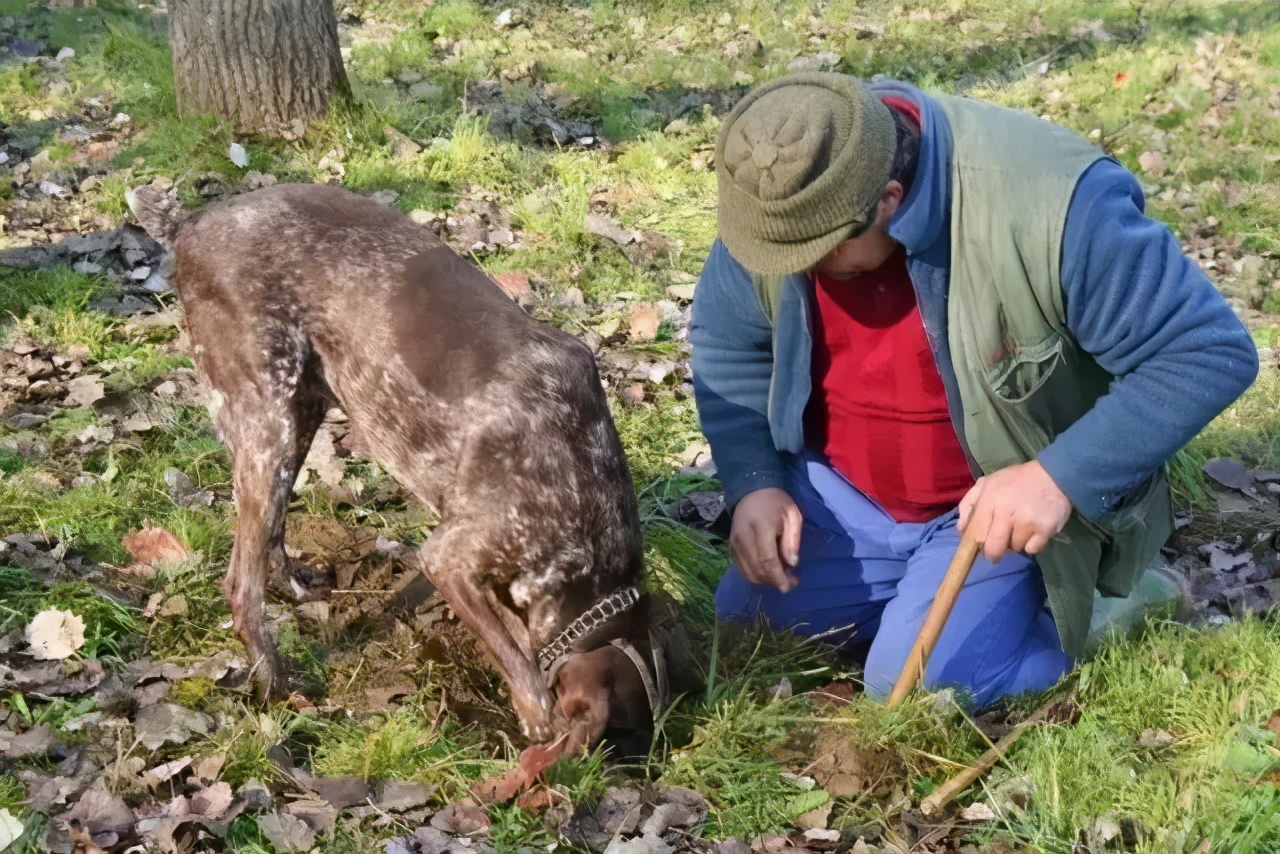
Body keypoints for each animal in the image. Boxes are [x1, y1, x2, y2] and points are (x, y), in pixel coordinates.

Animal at [127, 184, 670, 752]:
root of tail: (189, 223)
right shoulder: (450, 560)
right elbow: (518, 662)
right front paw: (540, 724)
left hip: (300, 412)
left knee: (270, 535)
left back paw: (294, 585)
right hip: (268, 417)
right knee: (240, 585)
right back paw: (274, 683)